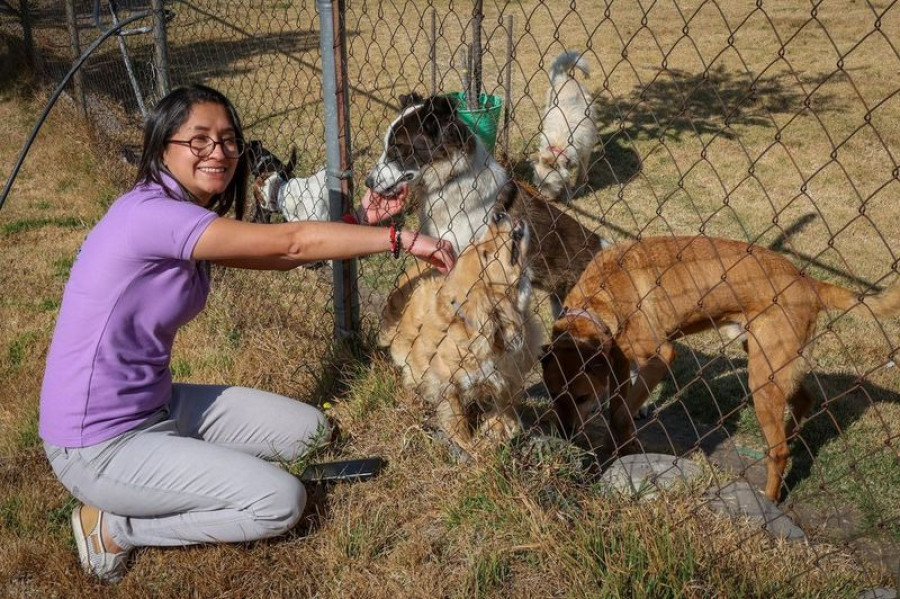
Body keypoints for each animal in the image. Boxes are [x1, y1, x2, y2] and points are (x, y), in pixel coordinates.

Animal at [380, 209, 540, 452]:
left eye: (480, 244)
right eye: (486, 254)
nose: (498, 214)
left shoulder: (510, 374)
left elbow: (504, 402)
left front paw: (500, 428)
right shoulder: (445, 382)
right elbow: (456, 417)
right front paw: (468, 446)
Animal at [532, 51, 600, 202]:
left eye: (548, 184)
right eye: (538, 183)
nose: (542, 197)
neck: (560, 143)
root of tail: (565, 77)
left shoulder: (585, 153)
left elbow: (581, 173)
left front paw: (579, 190)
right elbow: (566, 177)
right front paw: (568, 193)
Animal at [540, 234, 900, 502]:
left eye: (582, 397)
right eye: (554, 395)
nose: (565, 435)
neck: (602, 298)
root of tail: (809, 282)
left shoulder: (659, 357)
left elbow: (619, 414)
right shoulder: (618, 367)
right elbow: (619, 411)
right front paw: (621, 451)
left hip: (762, 377)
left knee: (780, 450)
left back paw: (770, 499)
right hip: (769, 362)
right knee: (803, 401)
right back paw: (792, 435)